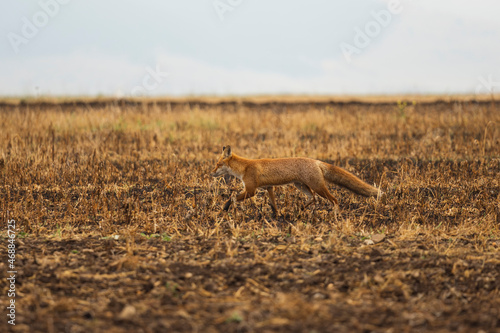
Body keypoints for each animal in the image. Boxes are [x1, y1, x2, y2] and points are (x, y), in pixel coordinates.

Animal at [210, 146, 378, 214]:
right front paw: (277, 216)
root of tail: (316, 161)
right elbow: (273, 205)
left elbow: (232, 197)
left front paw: (226, 208)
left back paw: (335, 216)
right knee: (313, 199)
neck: (245, 167)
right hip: (301, 186)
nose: (211, 173)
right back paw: (301, 209)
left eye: (217, 164)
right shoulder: (269, 188)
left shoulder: (251, 190)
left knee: (334, 200)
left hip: (318, 187)